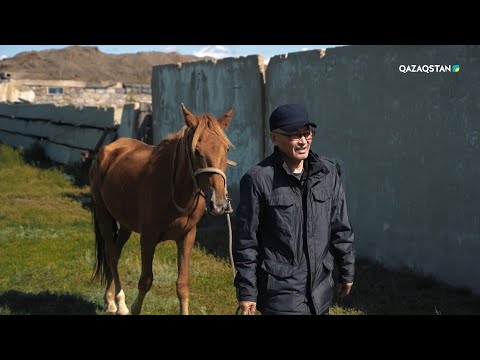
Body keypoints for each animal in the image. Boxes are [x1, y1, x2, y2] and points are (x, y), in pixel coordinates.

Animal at [89, 102, 234, 314]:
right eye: (196, 151)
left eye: (226, 150)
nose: (219, 203)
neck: (174, 189)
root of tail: (107, 150)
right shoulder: (148, 238)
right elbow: (145, 281)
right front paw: (133, 307)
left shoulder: (187, 236)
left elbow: (182, 285)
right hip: (104, 215)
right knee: (111, 254)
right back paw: (119, 302)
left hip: (126, 224)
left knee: (115, 251)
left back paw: (110, 299)